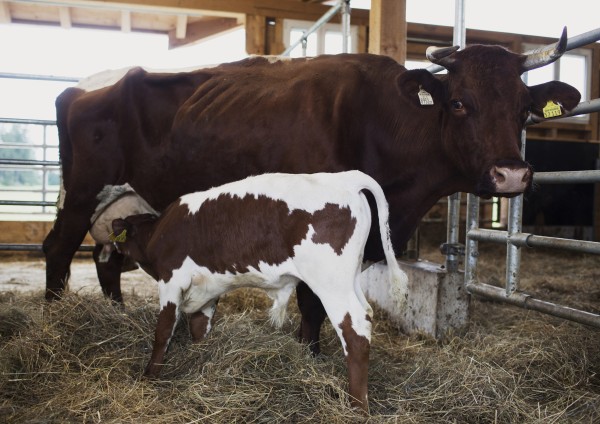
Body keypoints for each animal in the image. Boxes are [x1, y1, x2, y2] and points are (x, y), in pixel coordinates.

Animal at [44, 29, 580, 354]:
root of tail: (84, 87)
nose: (511, 175)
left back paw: (117, 314)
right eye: (460, 102)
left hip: (122, 203)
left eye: (524, 108)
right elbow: (310, 299)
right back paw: (52, 319)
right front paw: (310, 354)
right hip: (83, 191)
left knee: (107, 257)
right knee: (59, 247)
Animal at [109, 171, 408, 412]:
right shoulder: (207, 290)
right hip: (350, 278)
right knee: (366, 316)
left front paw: (149, 375)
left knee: (354, 329)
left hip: (331, 282)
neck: (158, 231)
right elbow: (199, 329)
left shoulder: (171, 281)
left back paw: (358, 407)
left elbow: (162, 332)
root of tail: (345, 177)